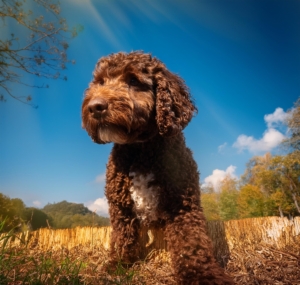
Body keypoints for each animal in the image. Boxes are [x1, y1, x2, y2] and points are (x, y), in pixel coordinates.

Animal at [82, 51, 234, 284]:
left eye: (133, 80)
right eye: (100, 82)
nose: (95, 107)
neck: (140, 149)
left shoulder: (183, 206)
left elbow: (191, 244)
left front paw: (203, 275)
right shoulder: (121, 208)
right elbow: (122, 238)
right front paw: (117, 266)